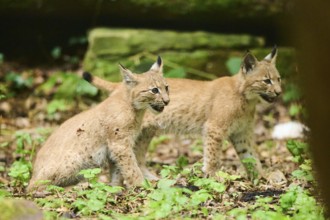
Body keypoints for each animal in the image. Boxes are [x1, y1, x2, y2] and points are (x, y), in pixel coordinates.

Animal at [26, 57, 169, 192]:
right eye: (154, 90)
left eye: (166, 87)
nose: (167, 101)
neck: (135, 108)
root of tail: (33, 172)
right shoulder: (120, 143)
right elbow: (131, 167)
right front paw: (141, 185)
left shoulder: (115, 146)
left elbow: (118, 170)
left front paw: (115, 188)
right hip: (74, 159)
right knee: (36, 187)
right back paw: (78, 186)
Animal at [85, 47, 282, 180]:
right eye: (266, 81)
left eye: (278, 79)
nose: (279, 92)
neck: (247, 99)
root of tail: (121, 85)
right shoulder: (214, 128)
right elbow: (213, 156)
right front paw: (212, 176)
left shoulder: (241, 132)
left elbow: (251, 156)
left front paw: (263, 176)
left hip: (145, 131)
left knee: (138, 156)